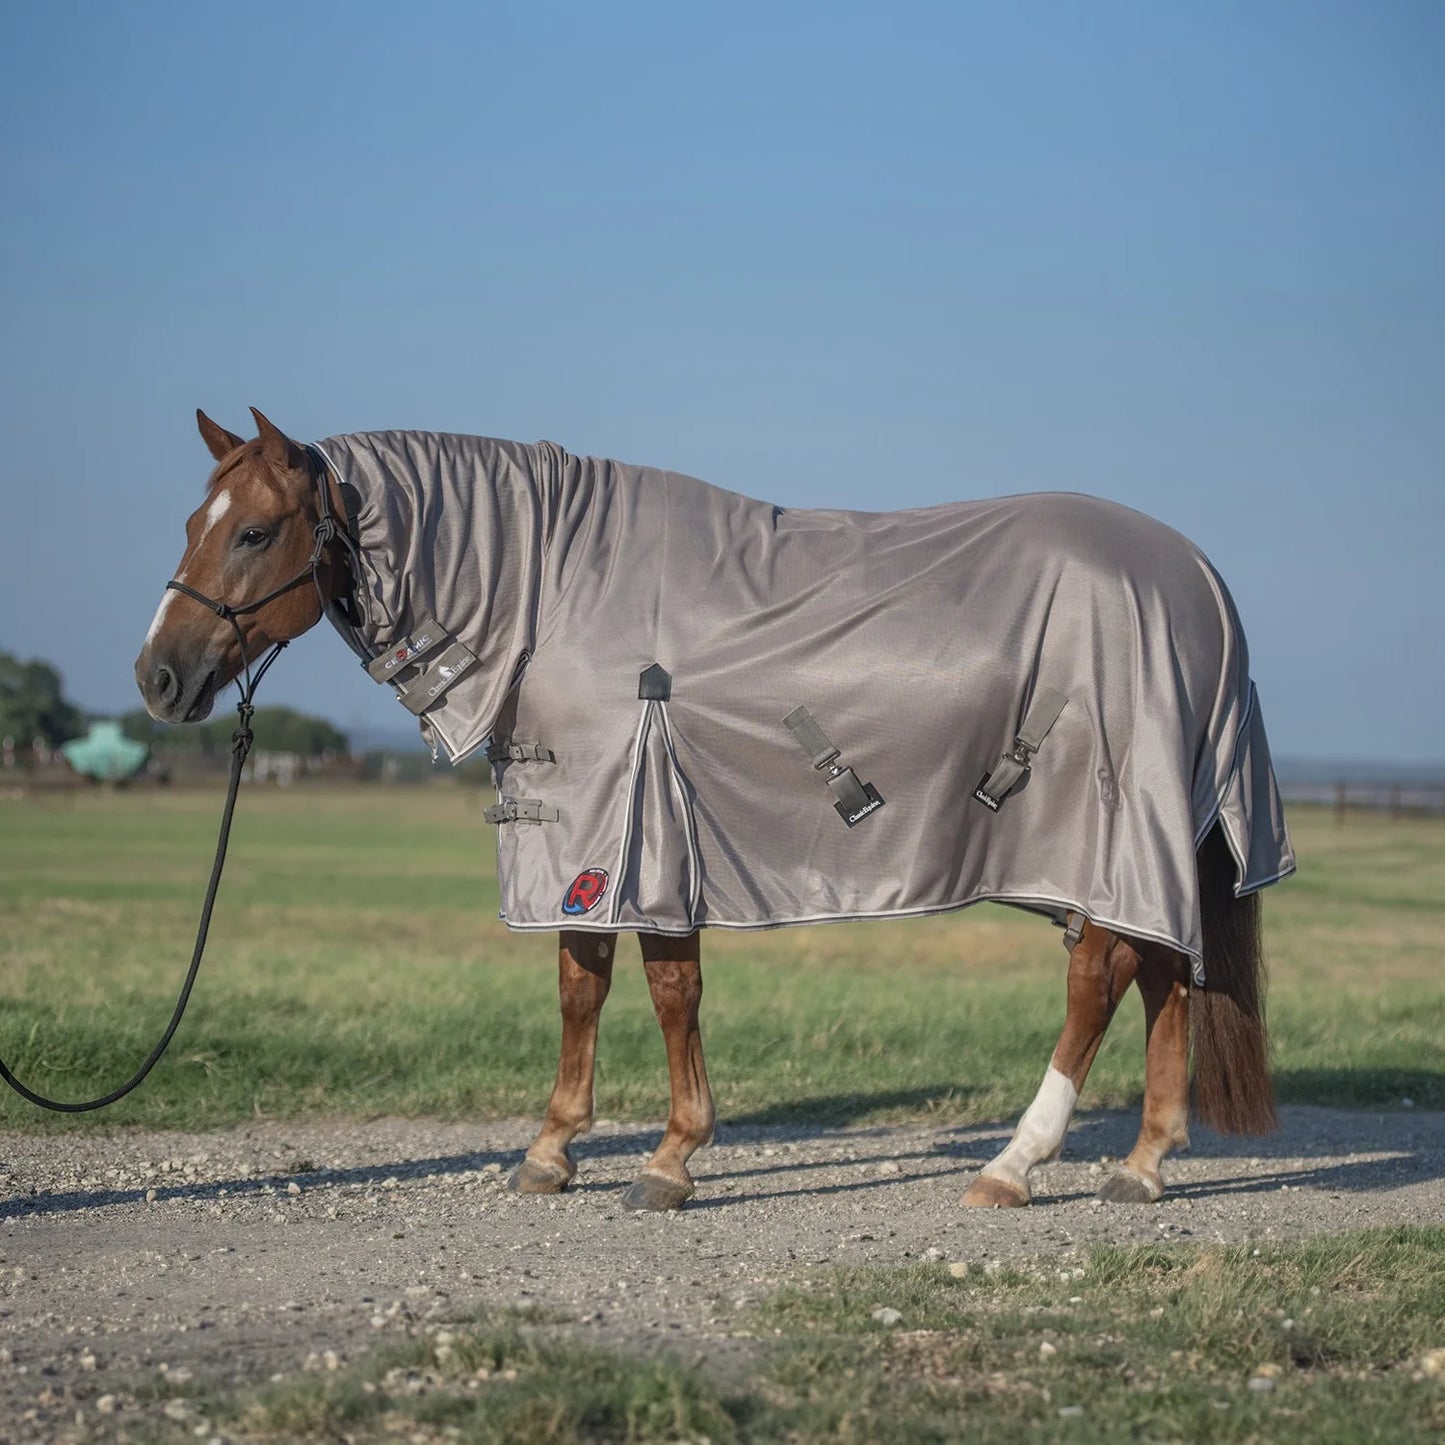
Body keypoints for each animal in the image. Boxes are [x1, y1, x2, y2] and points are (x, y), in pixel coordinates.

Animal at [135, 408, 1295, 1211]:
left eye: (255, 531)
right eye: (191, 520)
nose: (157, 676)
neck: (555, 588)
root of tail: (1197, 581)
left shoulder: (644, 816)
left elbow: (666, 989)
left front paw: (668, 1158)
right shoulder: (584, 833)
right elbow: (580, 984)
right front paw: (551, 1151)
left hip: (1110, 822)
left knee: (1098, 976)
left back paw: (1014, 1163)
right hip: (1144, 843)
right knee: (1161, 966)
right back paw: (1142, 1164)